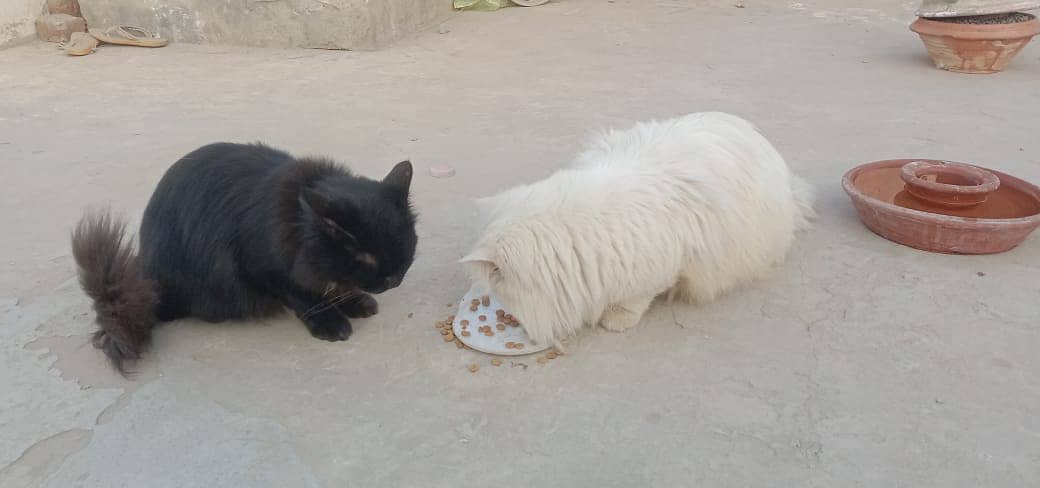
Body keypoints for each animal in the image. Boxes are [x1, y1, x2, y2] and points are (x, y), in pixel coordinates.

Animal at [72, 141, 418, 372]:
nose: (394, 279)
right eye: (366, 258)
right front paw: (330, 321)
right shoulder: (265, 272)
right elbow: (305, 297)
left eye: (404, 245)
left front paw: (354, 301)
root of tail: (153, 287)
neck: (296, 225)